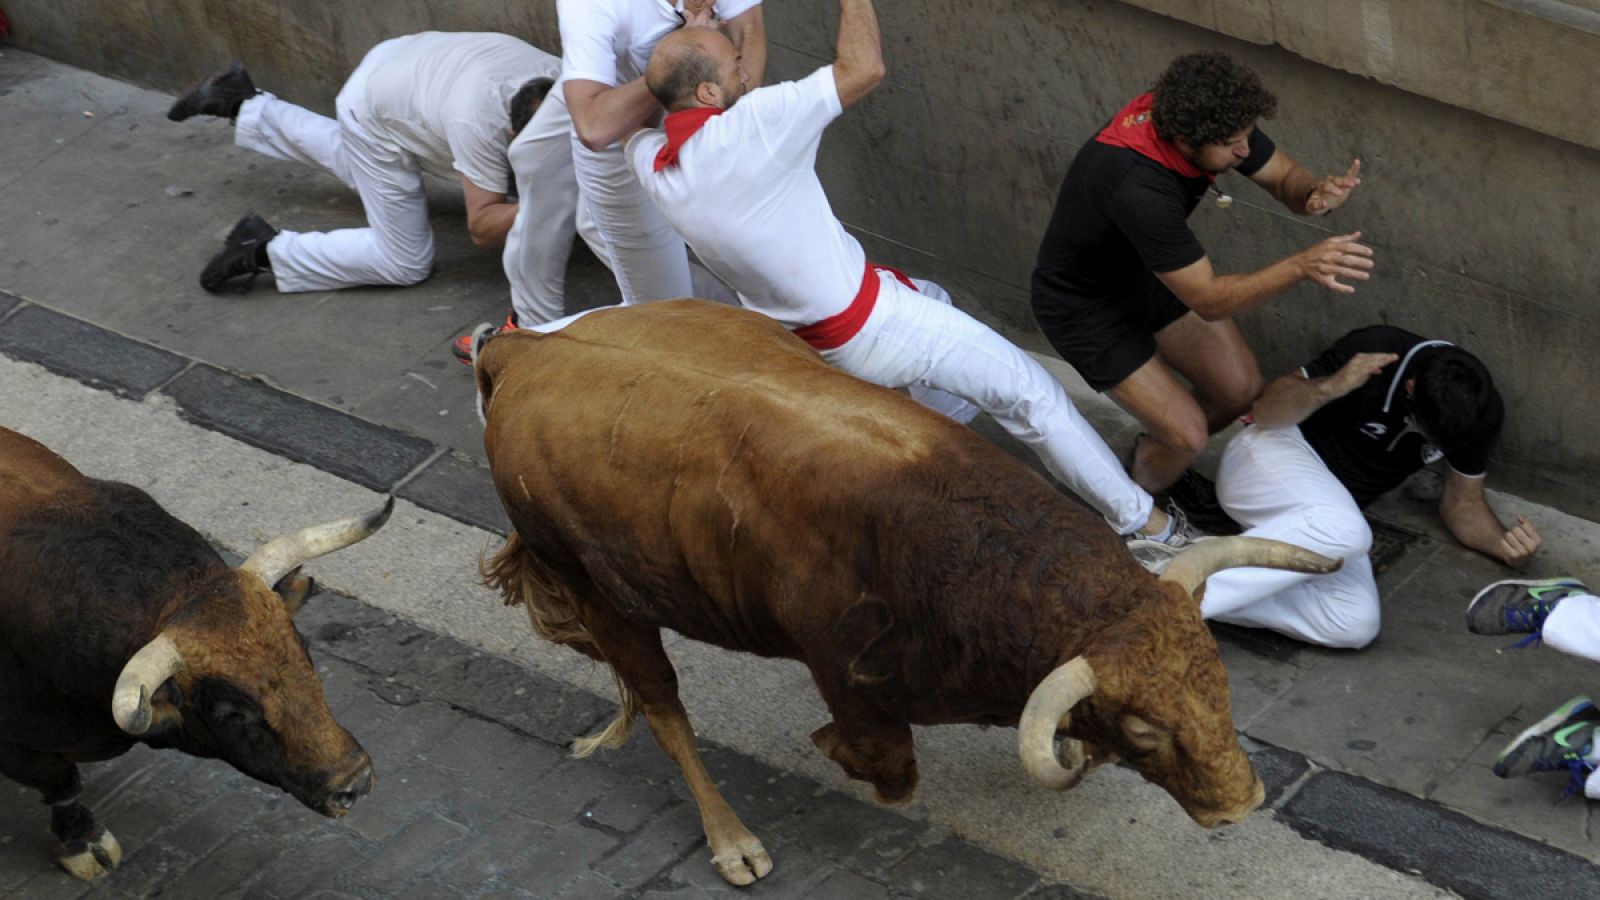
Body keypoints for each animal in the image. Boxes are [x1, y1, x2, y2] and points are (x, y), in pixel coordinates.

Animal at [2, 425, 390, 877]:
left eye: (305, 653)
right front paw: (82, 839)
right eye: (229, 712)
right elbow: (61, 783)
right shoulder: (20, 748)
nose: (354, 782)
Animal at [473, 301, 1337, 883]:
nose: (1241, 803)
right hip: (598, 592)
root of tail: (526, 351)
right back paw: (733, 842)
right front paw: (828, 749)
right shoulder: (848, 678)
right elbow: (890, 769)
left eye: (1218, 682)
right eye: (1144, 728)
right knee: (662, 705)